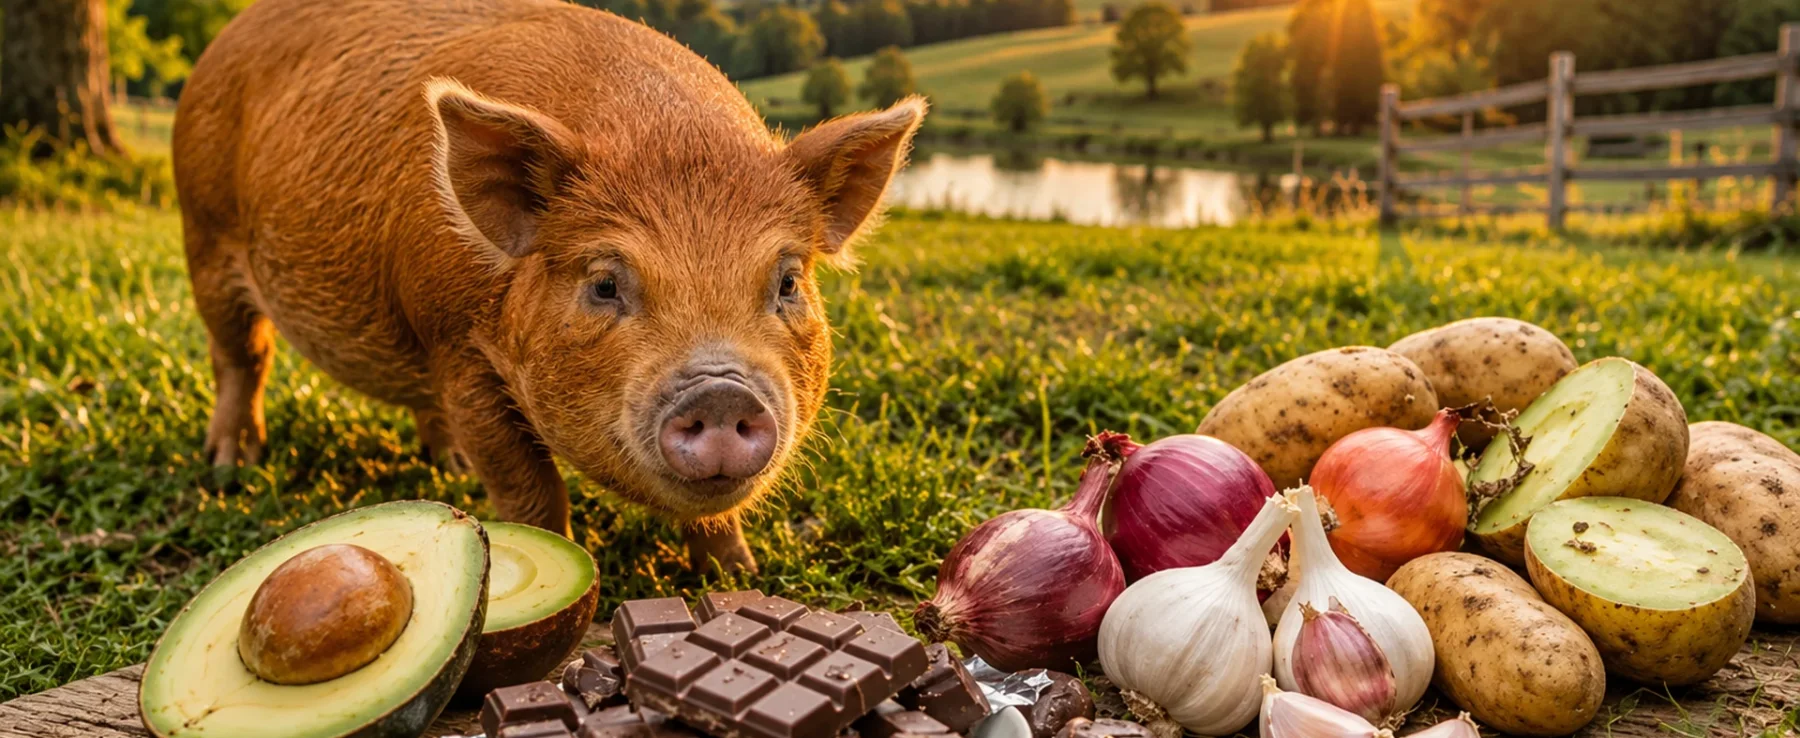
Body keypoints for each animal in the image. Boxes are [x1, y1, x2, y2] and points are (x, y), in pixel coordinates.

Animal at [172, 0, 924, 571]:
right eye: (604, 285)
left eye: (788, 280)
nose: (720, 391)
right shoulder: (461, 350)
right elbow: (532, 491)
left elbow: (718, 517)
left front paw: (742, 579)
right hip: (203, 232)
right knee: (242, 356)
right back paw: (229, 469)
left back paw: (447, 468)